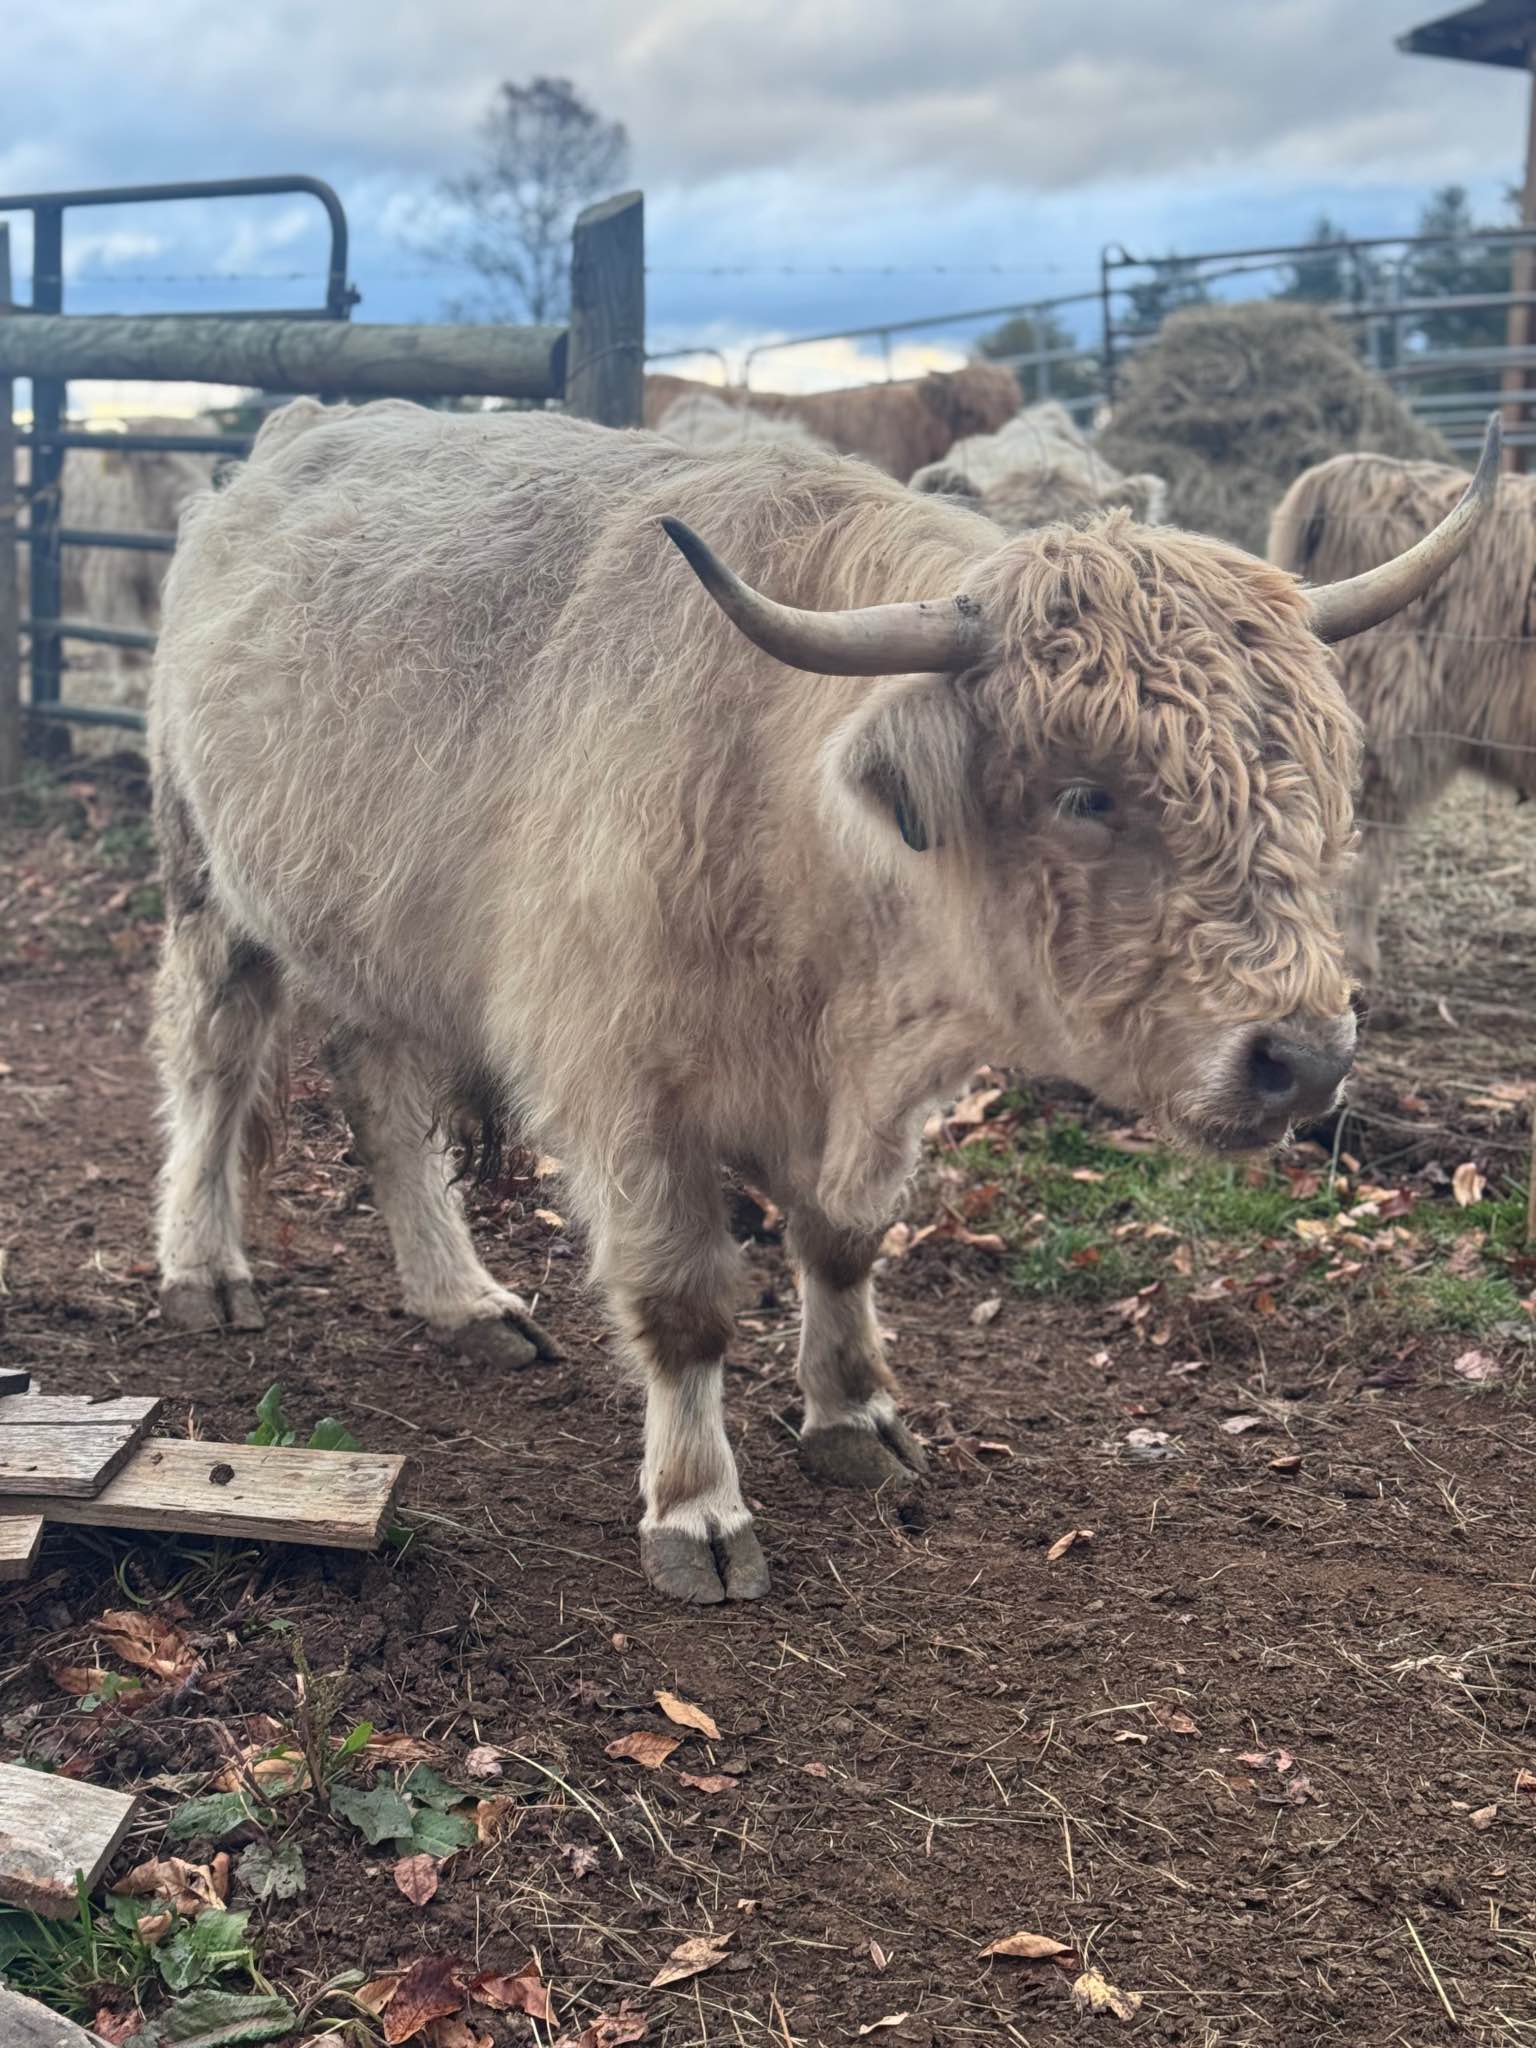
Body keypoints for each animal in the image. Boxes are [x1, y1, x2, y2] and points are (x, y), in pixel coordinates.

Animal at [148, 397, 1499, 1603]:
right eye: (1085, 794)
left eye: (1308, 772)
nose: (1303, 1057)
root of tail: (284, 441)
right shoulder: (624, 1086)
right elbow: (685, 1302)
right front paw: (697, 1507)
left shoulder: (879, 1099)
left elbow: (845, 1239)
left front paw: (853, 1413)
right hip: (211, 884)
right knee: (215, 1060)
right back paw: (204, 1268)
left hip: (371, 929)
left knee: (381, 1103)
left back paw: (460, 1298)